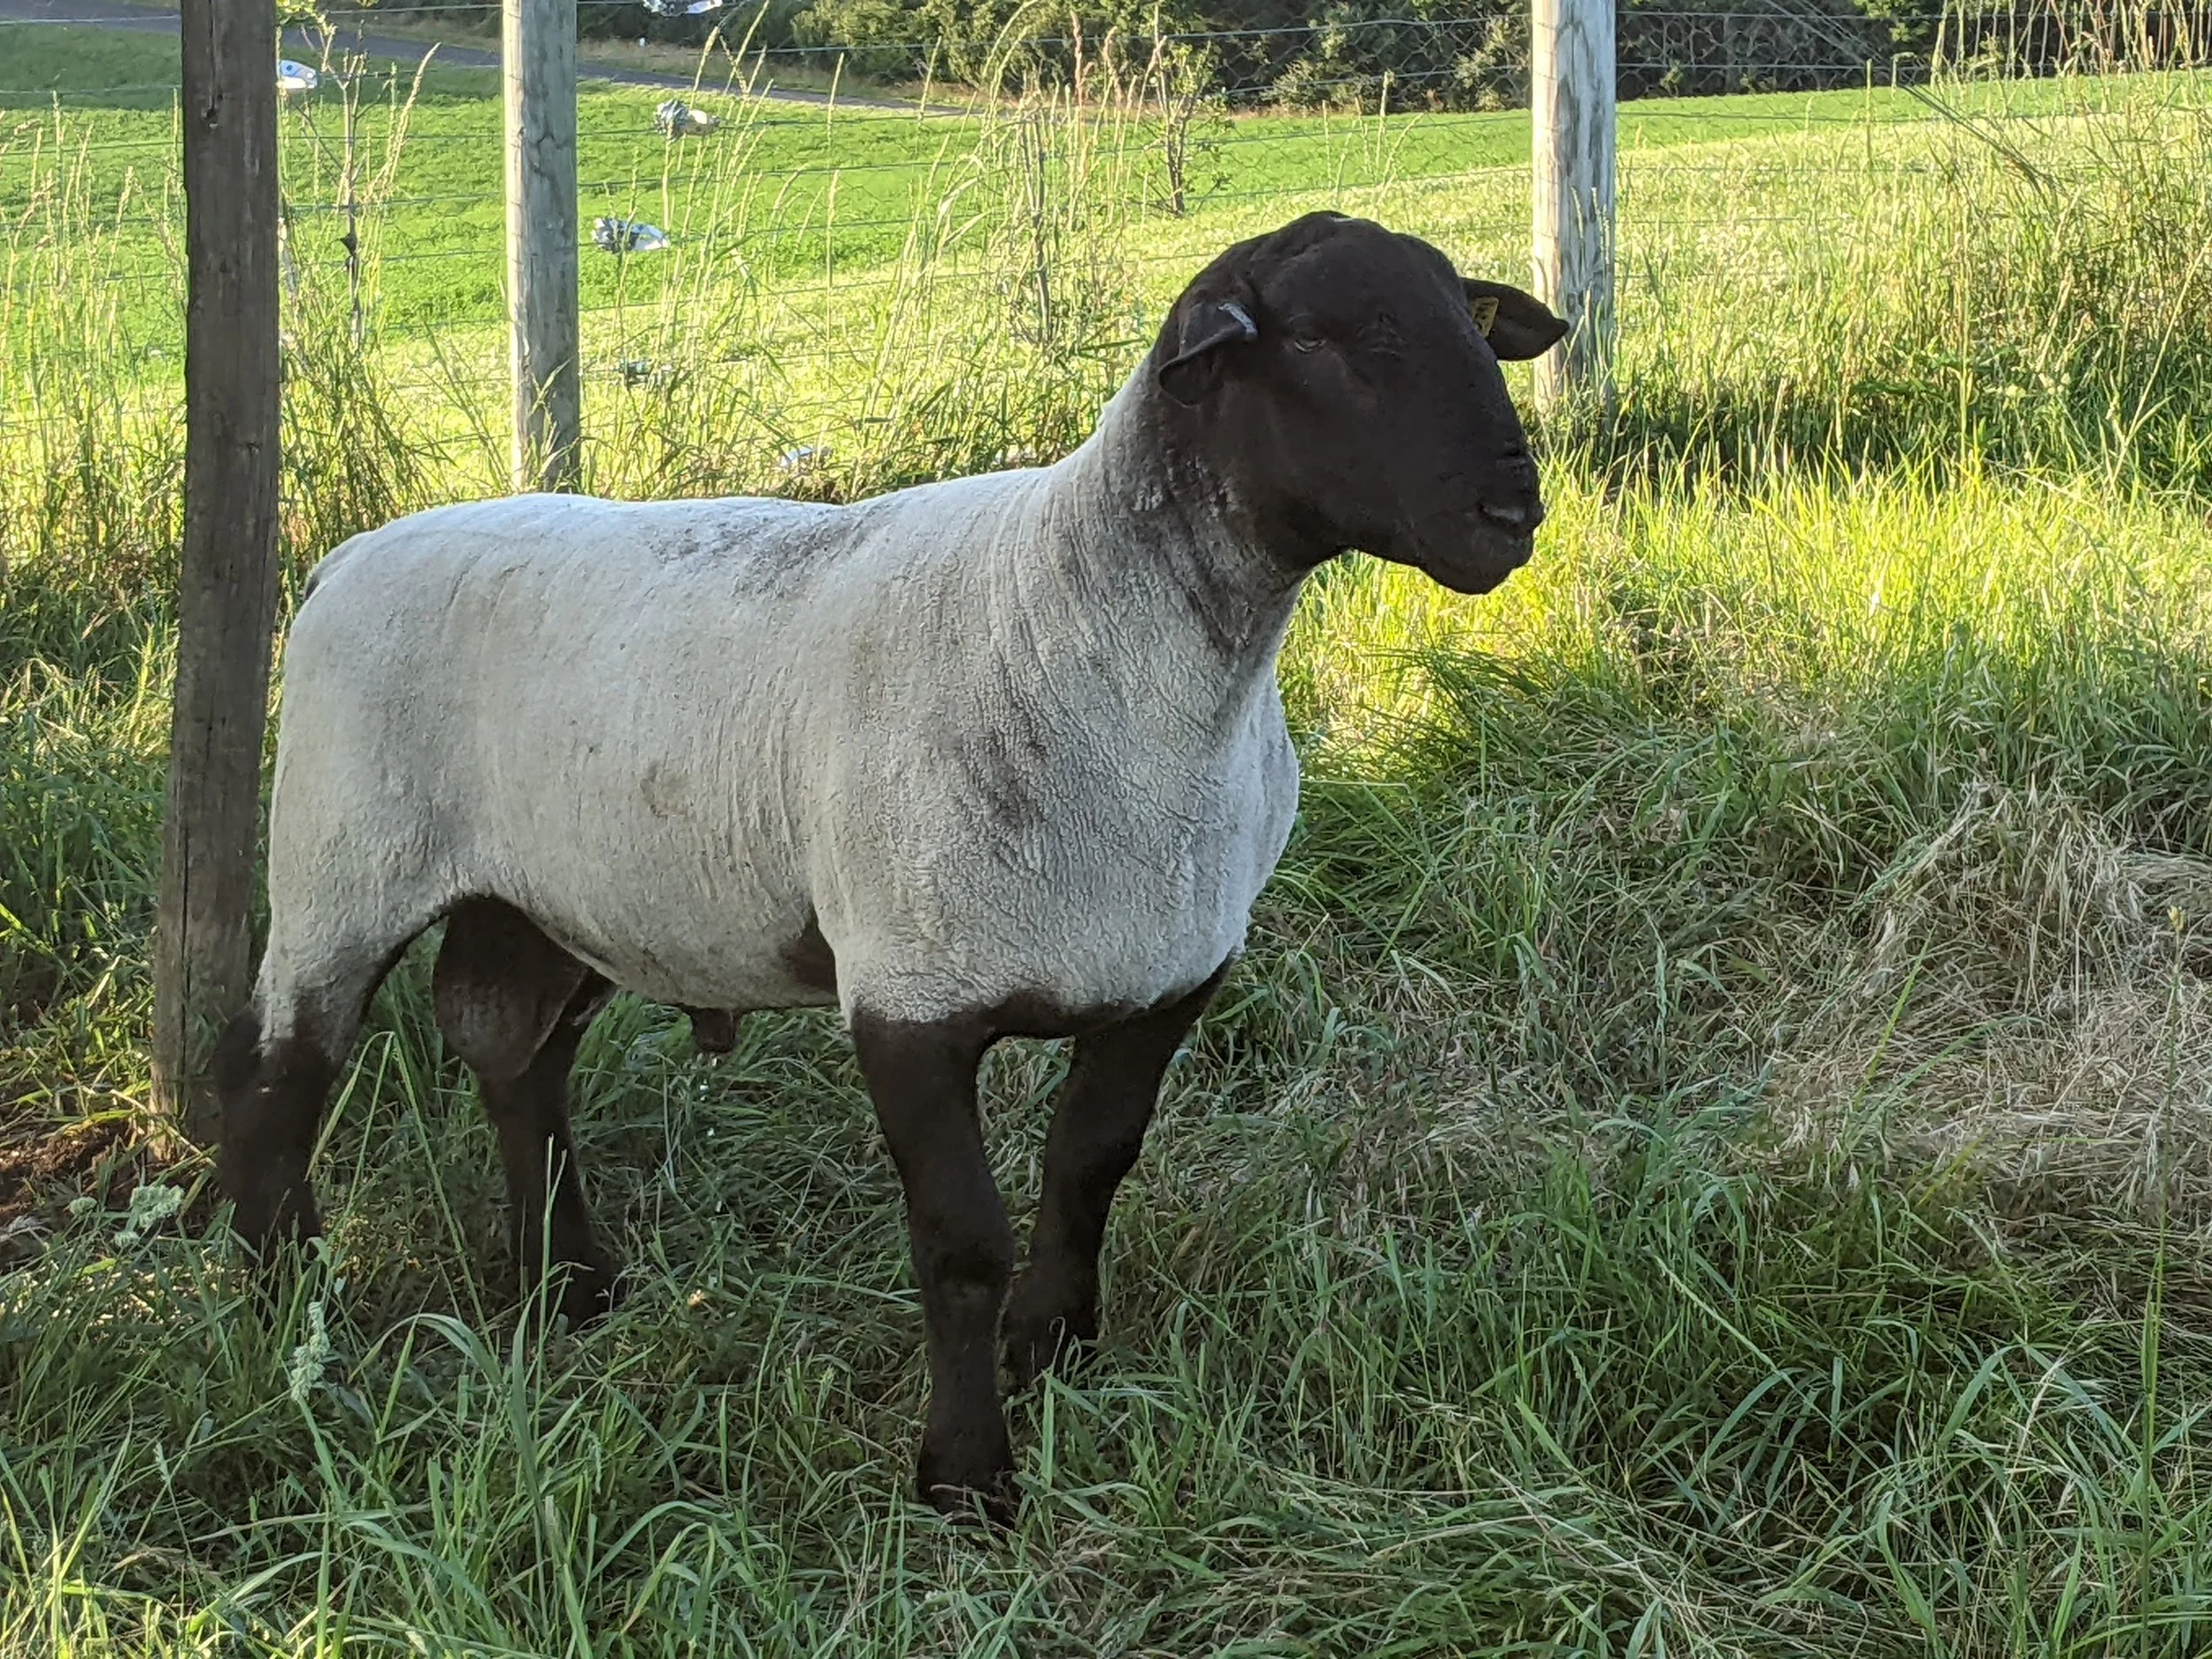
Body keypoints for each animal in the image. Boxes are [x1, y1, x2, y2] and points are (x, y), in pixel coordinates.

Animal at [214, 211, 1567, 1523]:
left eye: (1473, 324)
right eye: (1338, 342)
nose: (1513, 514)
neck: (1088, 625)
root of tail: (341, 560)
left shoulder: (1167, 974)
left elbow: (1089, 1169)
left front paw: (1055, 1349)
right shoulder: (909, 996)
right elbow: (959, 1243)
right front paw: (966, 1477)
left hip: (550, 897)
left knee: (514, 1057)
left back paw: (572, 1286)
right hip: (339, 863)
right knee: (283, 1074)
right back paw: (293, 1309)